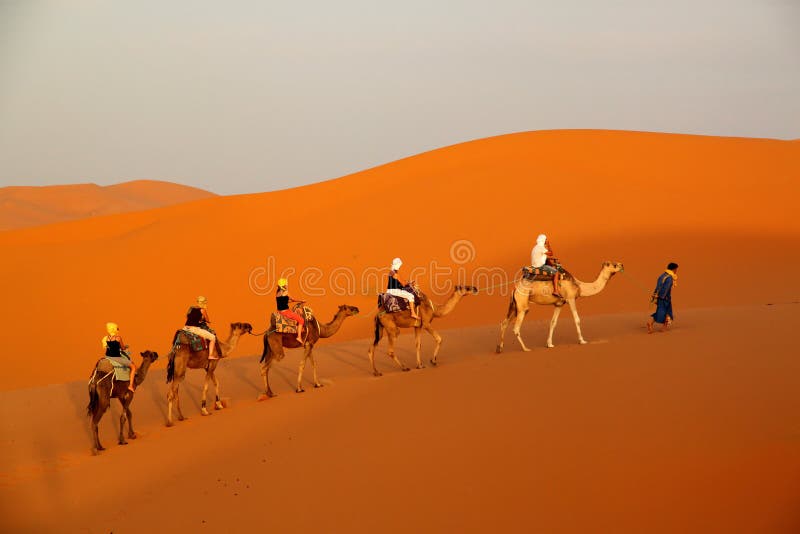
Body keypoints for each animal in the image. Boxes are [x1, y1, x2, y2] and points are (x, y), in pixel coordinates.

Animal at [494, 262, 624, 354]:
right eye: (613, 264)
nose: (622, 265)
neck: (579, 285)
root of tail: (515, 288)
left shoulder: (559, 304)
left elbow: (553, 322)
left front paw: (549, 344)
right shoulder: (571, 299)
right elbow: (577, 319)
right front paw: (582, 341)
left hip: (514, 306)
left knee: (504, 323)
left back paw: (499, 348)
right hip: (522, 305)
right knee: (516, 327)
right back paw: (526, 348)